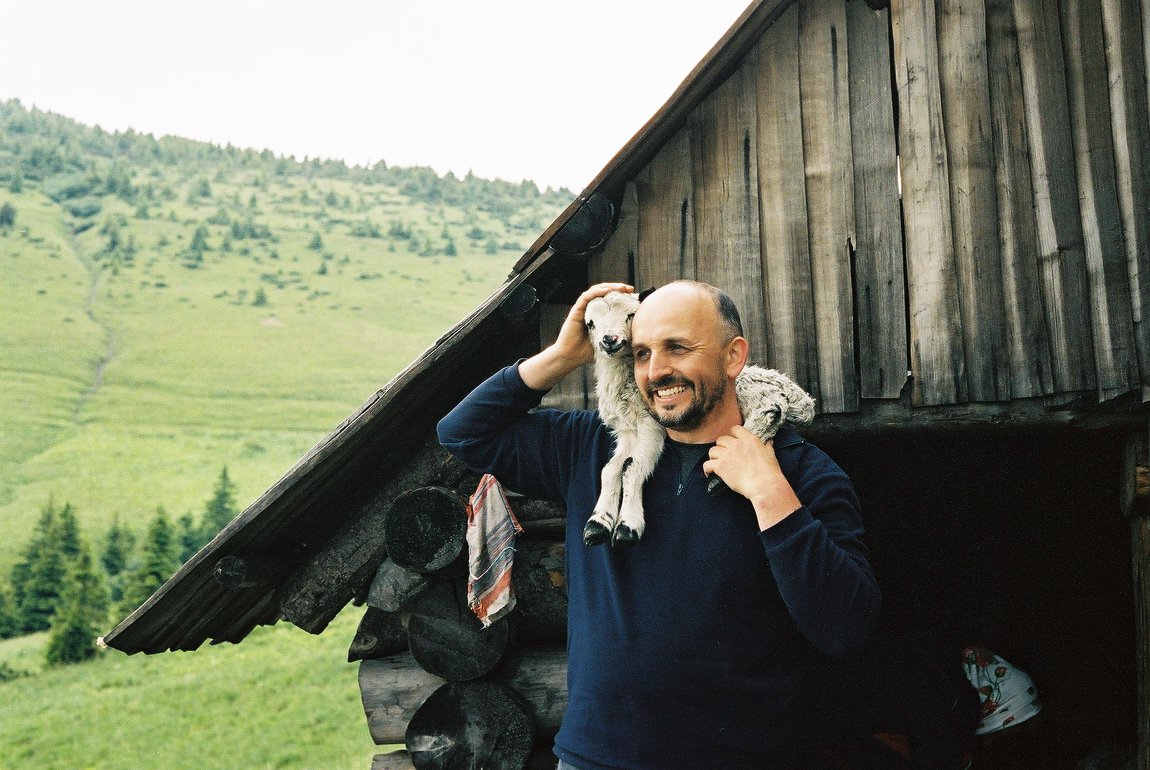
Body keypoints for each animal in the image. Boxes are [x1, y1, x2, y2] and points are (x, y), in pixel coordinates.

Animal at [581, 290, 815, 547]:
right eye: (590, 323)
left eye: (631, 315)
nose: (609, 340)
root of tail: (804, 399)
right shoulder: (626, 430)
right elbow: (611, 468)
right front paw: (598, 524)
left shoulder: (651, 425)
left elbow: (631, 466)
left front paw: (627, 527)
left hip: (747, 386)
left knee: (771, 405)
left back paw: (720, 476)